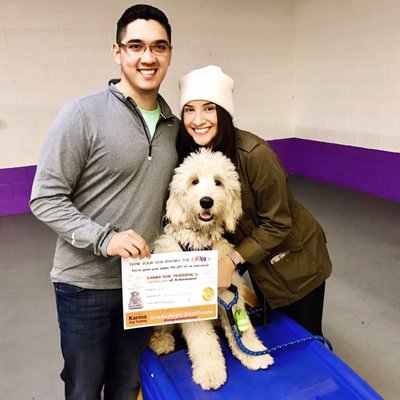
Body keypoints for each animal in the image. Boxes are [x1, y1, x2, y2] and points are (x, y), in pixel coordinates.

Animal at [148, 148, 274, 390]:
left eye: (218, 182)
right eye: (194, 181)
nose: (206, 201)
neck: (201, 242)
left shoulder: (229, 291)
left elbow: (242, 331)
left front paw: (254, 354)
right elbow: (203, 342)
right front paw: (210, 373)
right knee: (162, 328)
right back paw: (161, 342)